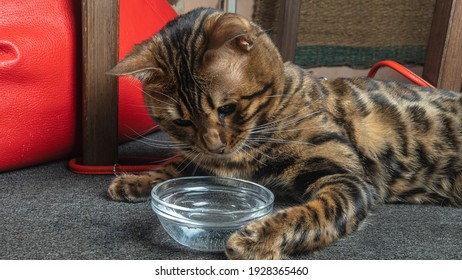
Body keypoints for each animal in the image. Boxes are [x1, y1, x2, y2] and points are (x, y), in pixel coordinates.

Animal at [105, 7, 462, 260]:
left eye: (226, 108)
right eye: (181, 121)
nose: (215, 145)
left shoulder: (348, 178)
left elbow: (316, 213)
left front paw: (261, 237)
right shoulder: (205, 157)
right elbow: (175, 166)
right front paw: (136, 180)